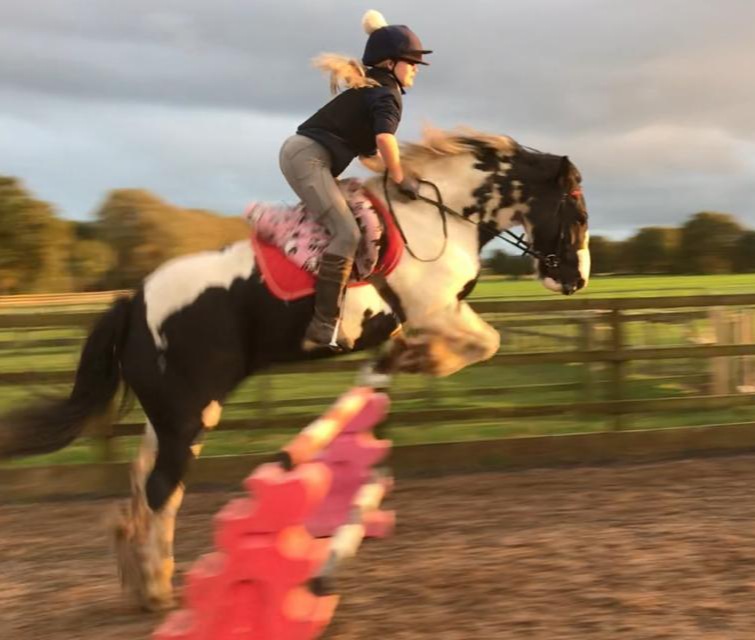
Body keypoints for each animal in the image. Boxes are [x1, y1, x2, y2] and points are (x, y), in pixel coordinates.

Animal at [0, 128, 590, 610]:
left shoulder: (442, 312)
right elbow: (483, 343)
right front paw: (415, 358)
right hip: (191, 415)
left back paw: (140, 575)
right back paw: (158, 589)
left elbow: (477, 343)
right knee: (163, 488)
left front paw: (401, 359)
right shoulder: (434, 310)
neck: (439, 214)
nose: (576, 281)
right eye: (578, 215)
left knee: (143, 482)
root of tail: (135, 302)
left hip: (164, 416)